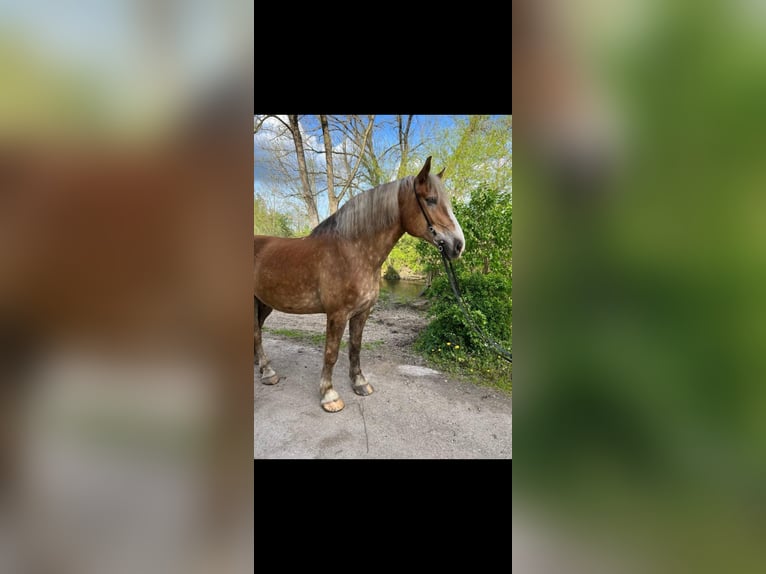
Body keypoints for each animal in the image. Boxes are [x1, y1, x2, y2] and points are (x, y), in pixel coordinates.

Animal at [255, 155, 464, 412]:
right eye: (431, 200)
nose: (458, 245)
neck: (353, 251)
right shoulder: (337, 314)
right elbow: (331, 353)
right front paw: (329, 395)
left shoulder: (362, 312)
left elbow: (355, 348)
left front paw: (360, 384)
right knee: (256, 334)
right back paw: (267, 372)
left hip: (264, 303)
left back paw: (263, 368)